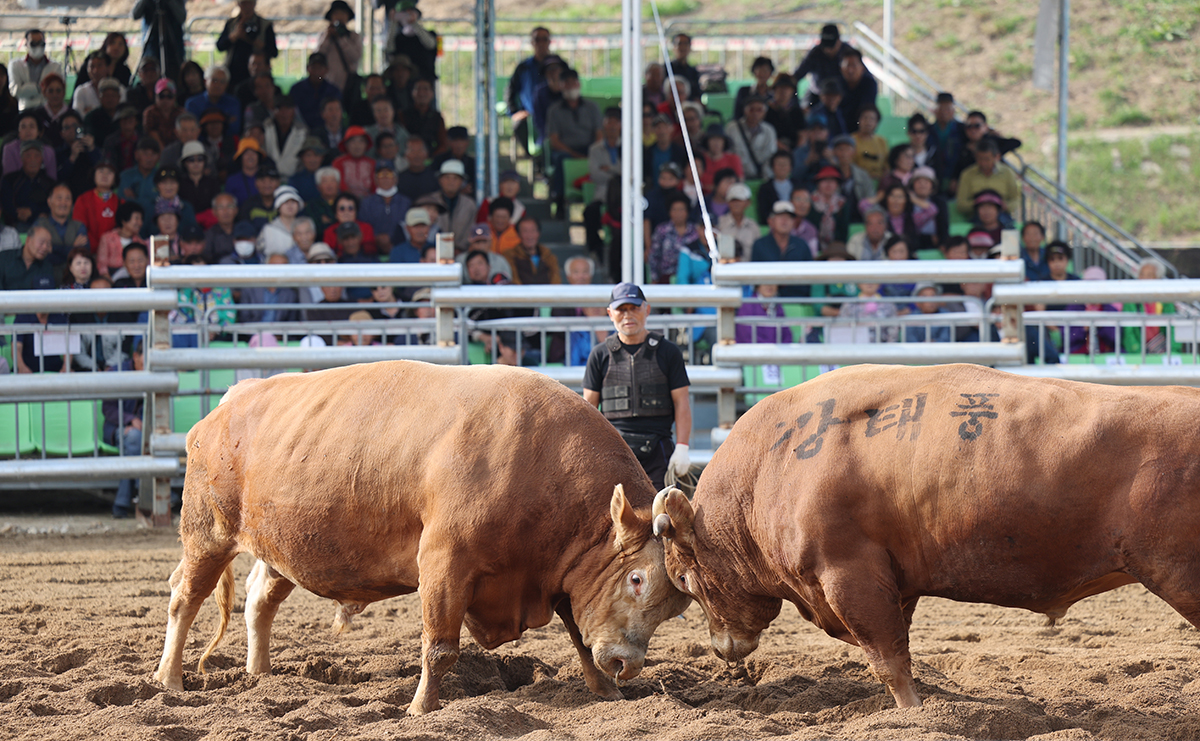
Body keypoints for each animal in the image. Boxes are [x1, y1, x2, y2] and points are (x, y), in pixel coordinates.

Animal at [154, 359, 691, 714]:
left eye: (677, 604)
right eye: (637, 579)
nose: (628, 663)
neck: (541, 462)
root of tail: (230, 401)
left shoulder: (561, 574)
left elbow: (581, 637)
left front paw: (608, 692)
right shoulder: (444, 563)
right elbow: (440, 647)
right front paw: (420, 709)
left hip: (282, 544)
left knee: (260, 599)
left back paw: (261, 675)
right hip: (207, 536)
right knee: (185, 597)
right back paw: (169, 678)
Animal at [657, 362, 1200, 705]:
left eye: (683, 579)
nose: (722, 648)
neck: (771, 463)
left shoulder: (849, 575)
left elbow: (889, 659)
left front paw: (915, 712)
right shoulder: (896, 581)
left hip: (1179, 576)